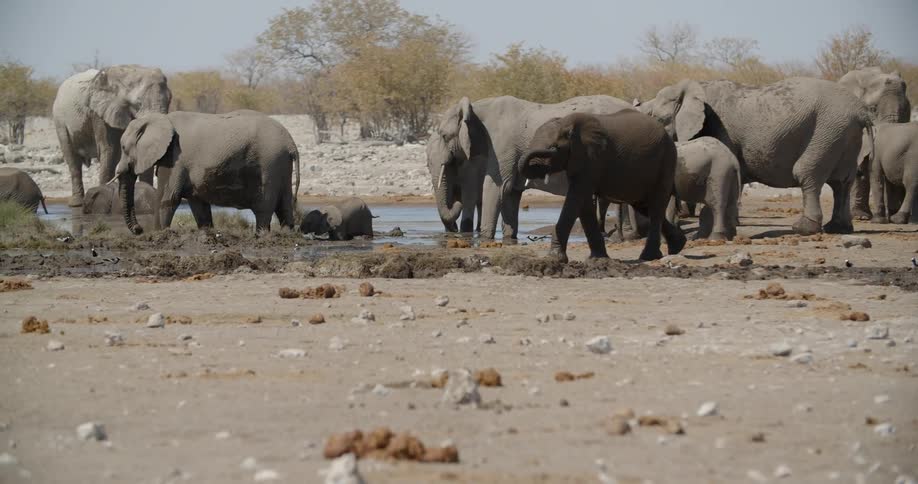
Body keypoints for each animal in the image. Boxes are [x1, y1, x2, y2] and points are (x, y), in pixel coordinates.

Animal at [53, 66, 171, 207]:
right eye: (138, 103)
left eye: (170, 100)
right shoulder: (100, 114)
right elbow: (110, 150)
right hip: (60, 122)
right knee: (73, 160)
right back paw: (76, 203)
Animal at [115, 110, 300, 234]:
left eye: (123, 148)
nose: (139, 229)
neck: (159, 118)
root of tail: (291, 143)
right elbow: (198, 203)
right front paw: (206, 233)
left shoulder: (176, 157)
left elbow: (168, 198)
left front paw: (160, 234)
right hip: (281, 165)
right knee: (284, 204)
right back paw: (287, 234)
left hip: (270, 162)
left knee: (264, 207)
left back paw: (261, 235)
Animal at [427, 95, 632, 239]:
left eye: (444, 136)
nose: (457, 201)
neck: (476, 107)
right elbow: (511, 192)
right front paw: (509, 239)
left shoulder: (502, 144)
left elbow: (497, 187)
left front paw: (485, 239)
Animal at [518, 110, 686, 262]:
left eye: (554, 148)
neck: (566, 122)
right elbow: (583, 203)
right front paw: (597, 259)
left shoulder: (592, 159)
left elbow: (576, 198)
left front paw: (554, 259)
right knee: (645, 206)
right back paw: (678, 245)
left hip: (666, 161)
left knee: (656, 207)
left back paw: (648, 257)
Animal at [638, 78, 873, 236]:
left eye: (657, 119)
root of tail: (862, 111)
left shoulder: (720, 128)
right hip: (843, 135)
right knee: (842, 182)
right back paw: (839, 228)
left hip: (827, 131)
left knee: (807, 174)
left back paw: (804, 228)